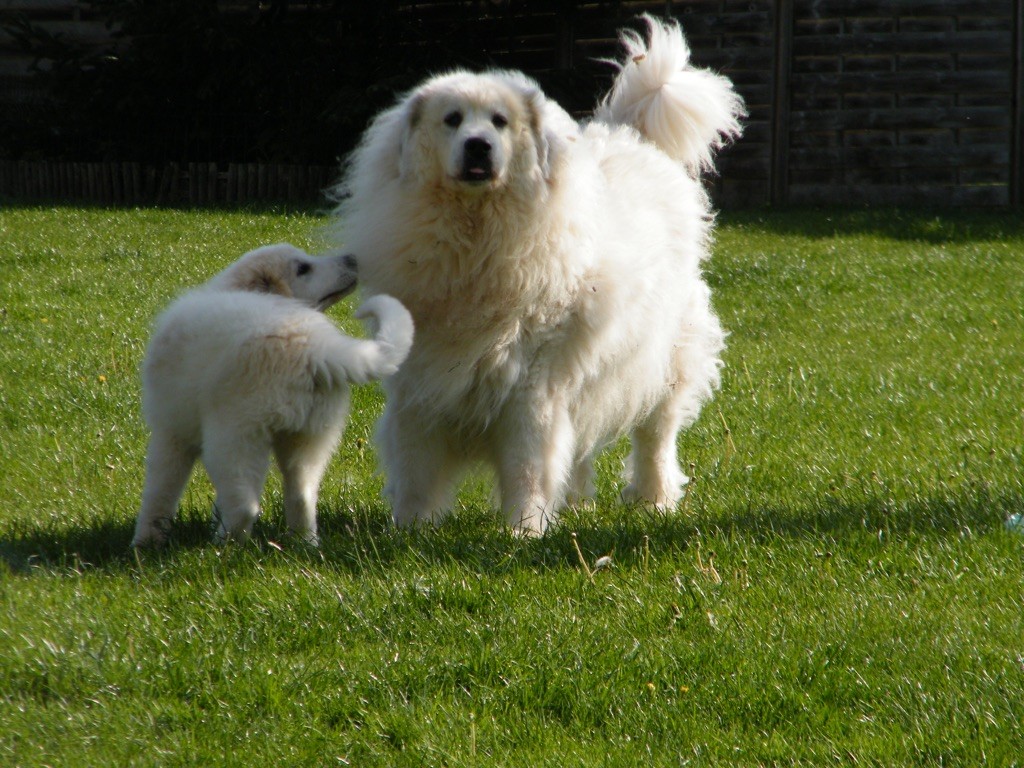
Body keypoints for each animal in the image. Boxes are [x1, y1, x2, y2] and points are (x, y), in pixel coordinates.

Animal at [134, 241, 413, 548]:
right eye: (303, 268)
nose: (353, 259)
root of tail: (315, 348)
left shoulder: (170, 432)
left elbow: (160, 491)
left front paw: (145, 542)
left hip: (233, 436)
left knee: (244, 505)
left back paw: (222, 547)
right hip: (311, 438)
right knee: (302, 496)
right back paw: (303, 543)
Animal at [335, 16, 745, 536]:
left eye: (499, 122)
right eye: (452, 119)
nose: (478, 146)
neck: (476, 238)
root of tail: (631, 135)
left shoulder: (530, 389)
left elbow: (527, 466)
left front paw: (524, 531)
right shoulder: (419, 383)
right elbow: (415, 466)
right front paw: (410, 530)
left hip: (665, 363)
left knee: (655, 436)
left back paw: (654, 500)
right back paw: (578, 505)